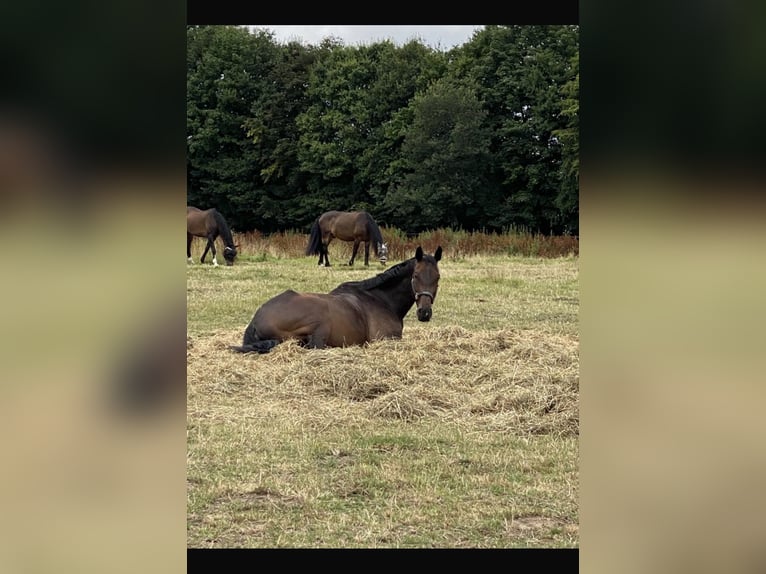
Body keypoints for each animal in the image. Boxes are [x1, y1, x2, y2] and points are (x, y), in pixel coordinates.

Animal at [230, 248, 444, 356]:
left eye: (437, 277)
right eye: (415, 276)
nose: (424, 313)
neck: (380, 300)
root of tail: (256, 321)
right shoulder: (386, 339)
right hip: (319, 322)